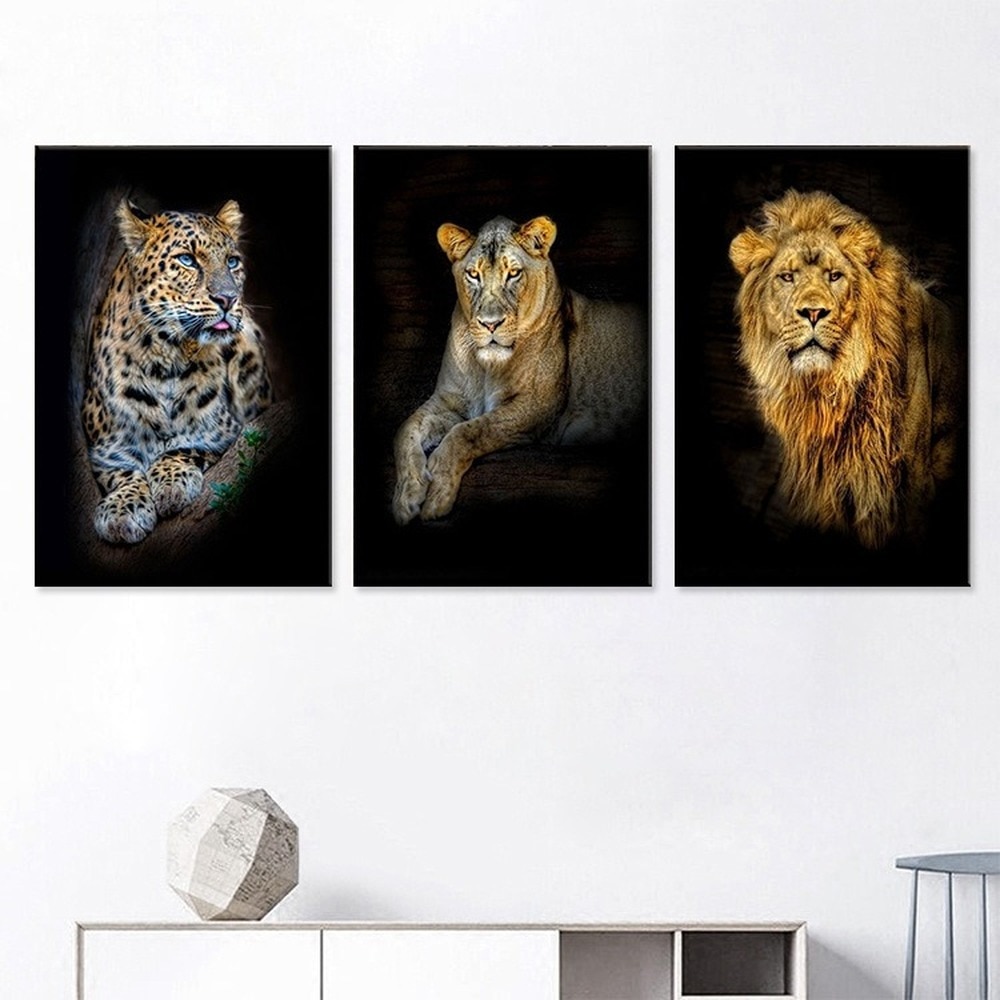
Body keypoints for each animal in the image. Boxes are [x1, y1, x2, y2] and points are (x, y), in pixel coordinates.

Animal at [80, 198, 272, 545]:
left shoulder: (223, 432)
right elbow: (122, 472)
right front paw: (122, 508)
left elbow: (185, 447)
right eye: (187, 259)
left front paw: (172, 483)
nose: (228, 299)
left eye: (232, 262)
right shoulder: (105, 448)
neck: (165, 359)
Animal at [393, 215, 646, 524]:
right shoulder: (447, 402)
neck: (485, 366)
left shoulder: (538, 408)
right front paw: (406, 496)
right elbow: (405, 430)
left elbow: (471, 431)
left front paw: (438, 491)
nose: (490, 324)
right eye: (473, 274)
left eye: (513, 273)